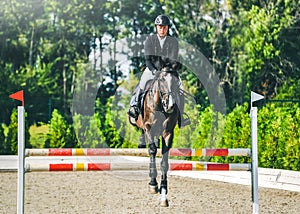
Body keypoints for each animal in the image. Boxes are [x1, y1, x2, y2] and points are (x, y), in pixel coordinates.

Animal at [127, 67, 179, 206]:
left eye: (176, 81)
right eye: (162, 81)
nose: (170, 105)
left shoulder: (168, 133)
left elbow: (164, 161)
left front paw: (164, 192)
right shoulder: (149, 128)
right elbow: (152, 151)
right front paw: (153, 184)